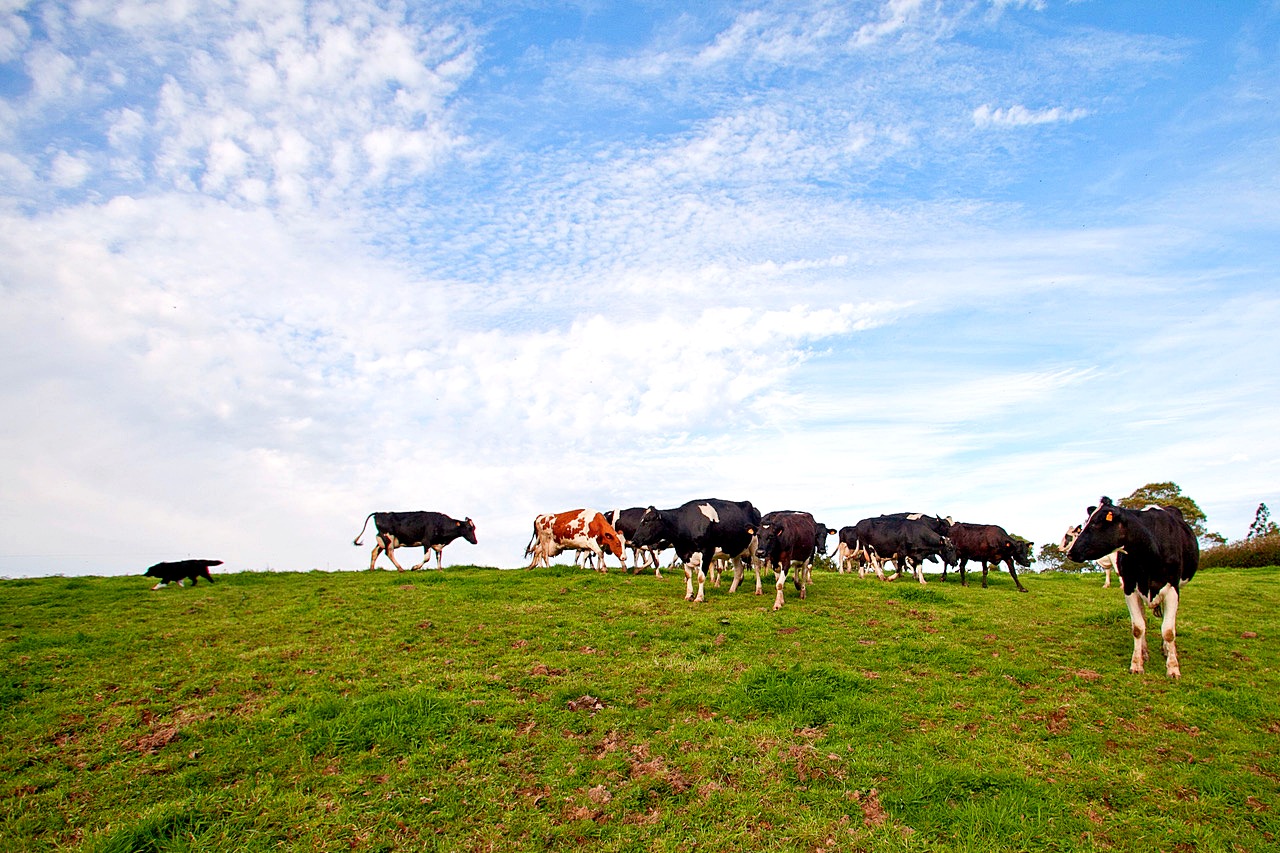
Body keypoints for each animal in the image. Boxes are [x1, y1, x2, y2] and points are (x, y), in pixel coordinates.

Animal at [629, 494, 757, 601]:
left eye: (647, 521)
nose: (634, 541)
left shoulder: (706, 552)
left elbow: (700, 577)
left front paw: (699, 598)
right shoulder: (684, 554)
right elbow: (688, 575)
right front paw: (689, 595)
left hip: (754, 547)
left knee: (756, 568)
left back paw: (758, 590)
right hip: (735, 551)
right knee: (738, 569)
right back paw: (731, 590)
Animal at [1064, 494, 1192, 676]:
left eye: (1095, 523)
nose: (1070, 553)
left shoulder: (1172, 588)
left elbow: (1168, 631)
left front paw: (1173, 668)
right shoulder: (1130, 587)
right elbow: (1138, 627)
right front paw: (1137, 664)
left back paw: (1166, 650)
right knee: (1144, 619)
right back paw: (1144, 652)